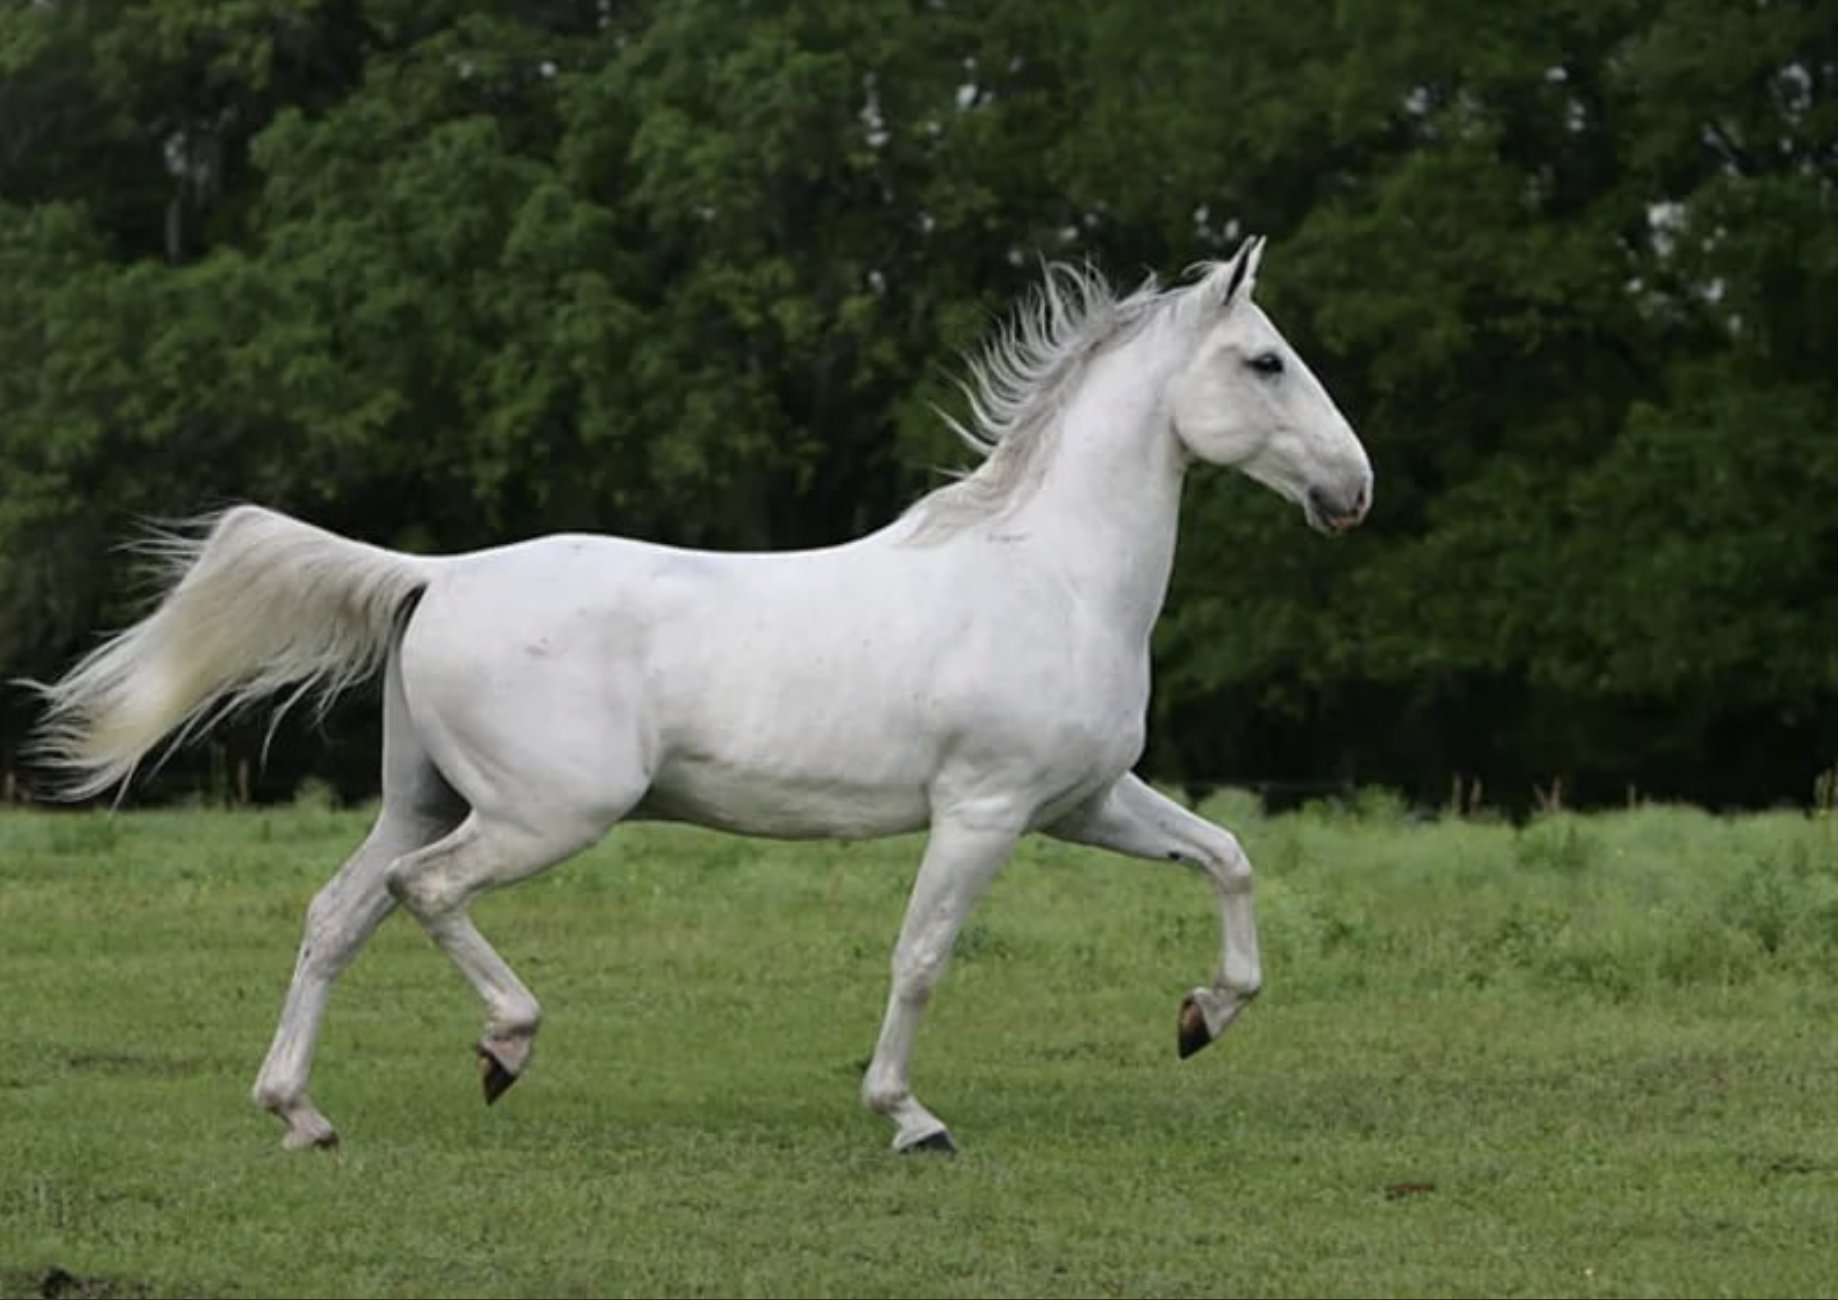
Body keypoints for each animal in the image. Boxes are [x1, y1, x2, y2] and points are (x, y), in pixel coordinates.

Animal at [35, 239, 1374, 1154]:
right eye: (1264, 361)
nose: (1352, 489)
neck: (1049, 573)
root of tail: (438, 573)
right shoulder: (985, 810)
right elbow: (922, 955)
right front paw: (908, 1116)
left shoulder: (1084, 800)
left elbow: (1227, 859)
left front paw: (1202, 1015)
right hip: (543, 814)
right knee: (424, 893)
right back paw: (503, 1045)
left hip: (424, 798)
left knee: (335, 915)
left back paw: (299, 1112)